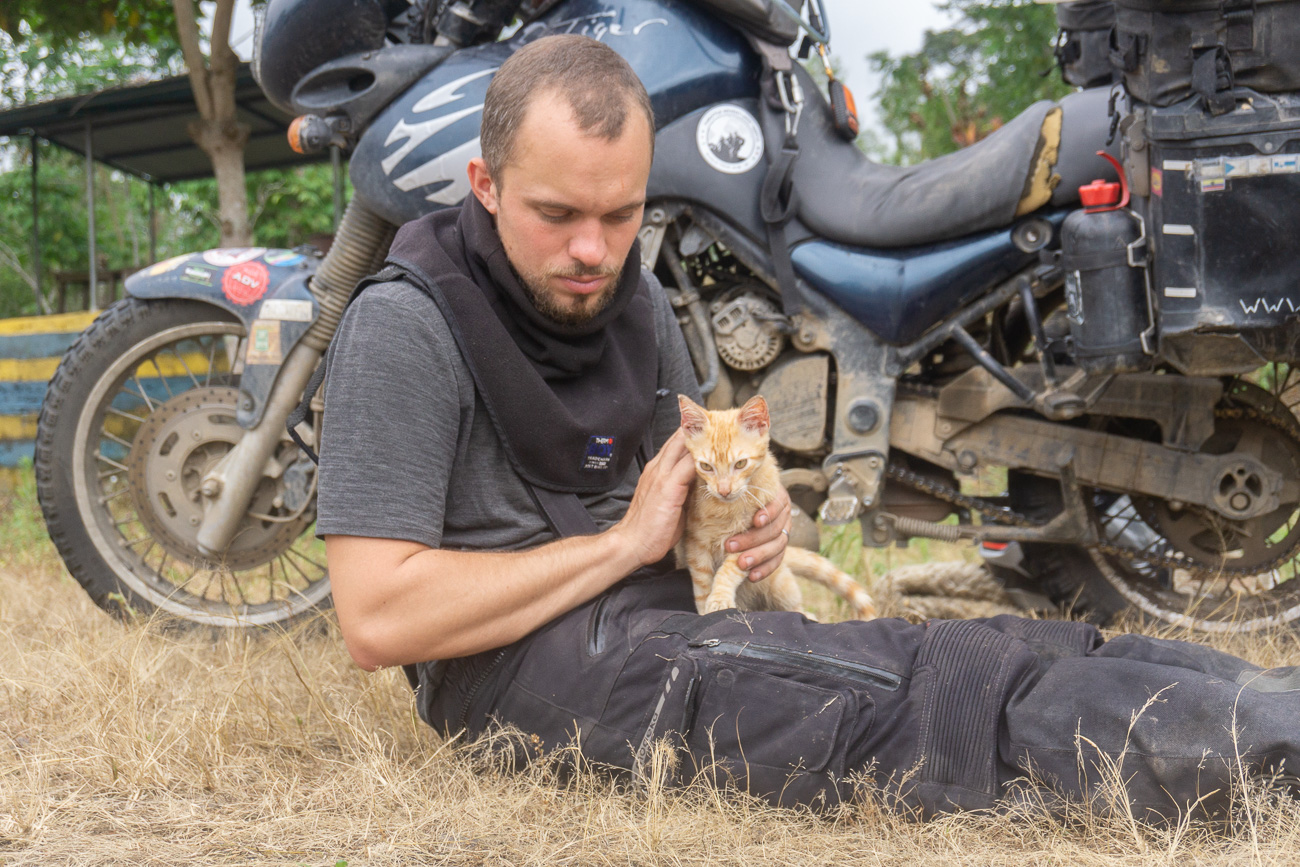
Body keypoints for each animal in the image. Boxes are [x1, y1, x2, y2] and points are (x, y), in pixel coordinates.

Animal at [676, 397, 878, 621]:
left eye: (740, 464)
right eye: (706, 467)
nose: (724, 490)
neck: (727, 508)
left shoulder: (749, 541)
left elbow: (728, 570)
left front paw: (720, 597)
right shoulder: (695, 542)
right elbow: (702, 580)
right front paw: (705, 609)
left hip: (780, 584)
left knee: (794, 606)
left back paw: (807, 614)